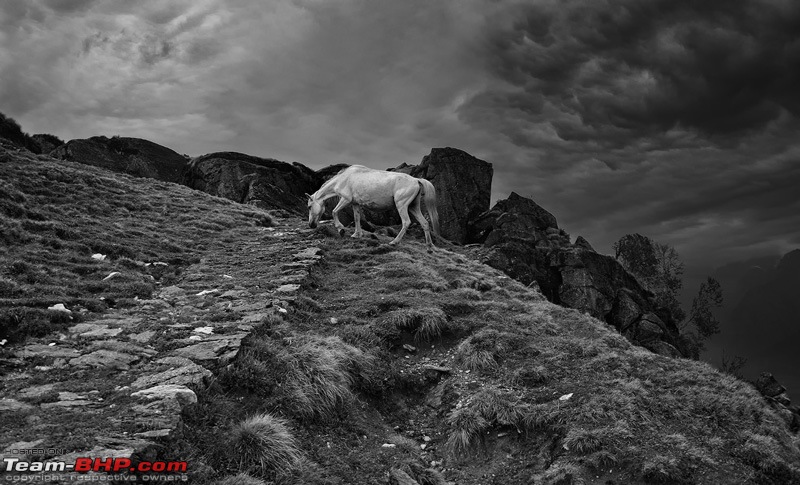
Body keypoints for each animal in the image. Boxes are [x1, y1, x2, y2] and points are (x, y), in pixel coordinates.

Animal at [308, 165, 444, 250]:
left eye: (309, 206)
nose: (311, 225)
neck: (344, 178)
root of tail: (416, 180)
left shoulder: (345, 199)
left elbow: (334, 212)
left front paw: (341, 229)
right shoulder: (355, 204)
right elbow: (357, 218)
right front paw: (357, 234)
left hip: (402, 205)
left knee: (406, 222)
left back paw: (394, 242)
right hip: (413, 207)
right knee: (425, 223)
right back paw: (430, 246)